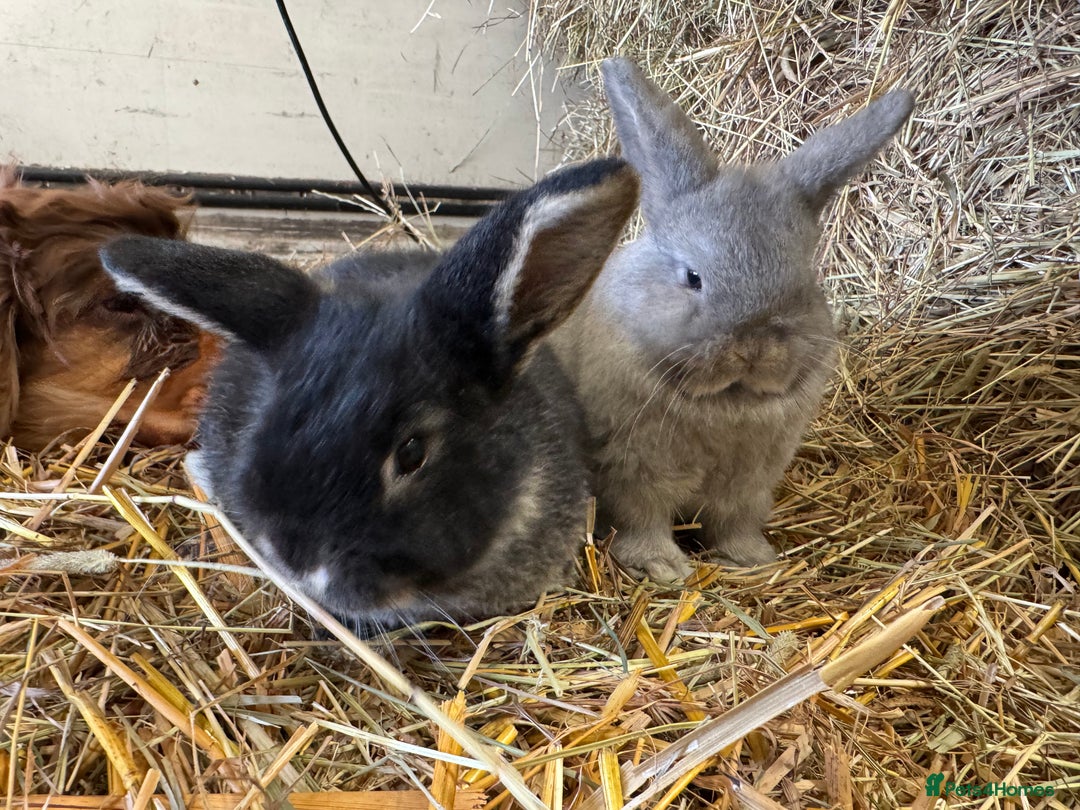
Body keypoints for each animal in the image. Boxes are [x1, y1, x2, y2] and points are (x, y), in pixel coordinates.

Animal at [548, 58, 914, 581]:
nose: (752, 347)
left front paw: (751, 561)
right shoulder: (632, 471)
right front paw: (664, 569)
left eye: (803, 278)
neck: (727, 402)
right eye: (693, 277)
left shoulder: (747, 485)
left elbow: (732, 523)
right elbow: (643, 520)